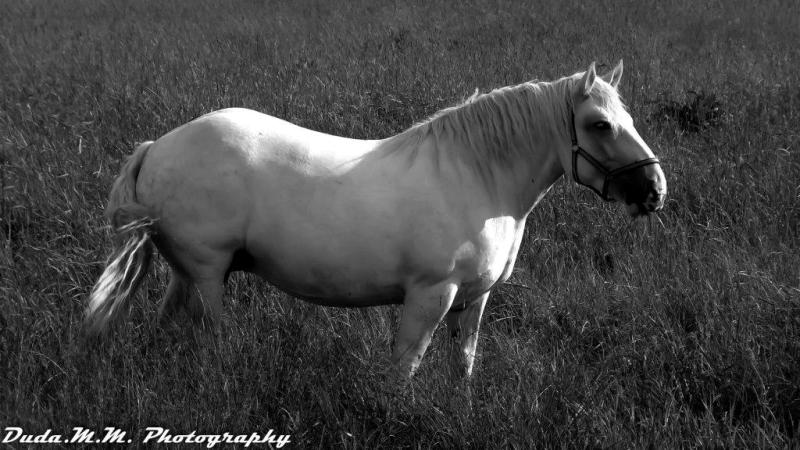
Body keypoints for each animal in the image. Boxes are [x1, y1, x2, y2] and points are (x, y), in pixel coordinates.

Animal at [86, 61, 664, 380]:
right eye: (600, 124)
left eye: (630, 119)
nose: (655, 191)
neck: (477, 177)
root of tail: (157, 147)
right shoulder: (431, 295)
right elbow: (404, 370)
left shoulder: (474, 298)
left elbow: (462, 365)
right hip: (208, 274)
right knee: (212, 338)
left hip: (186, 272)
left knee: (165, 326)